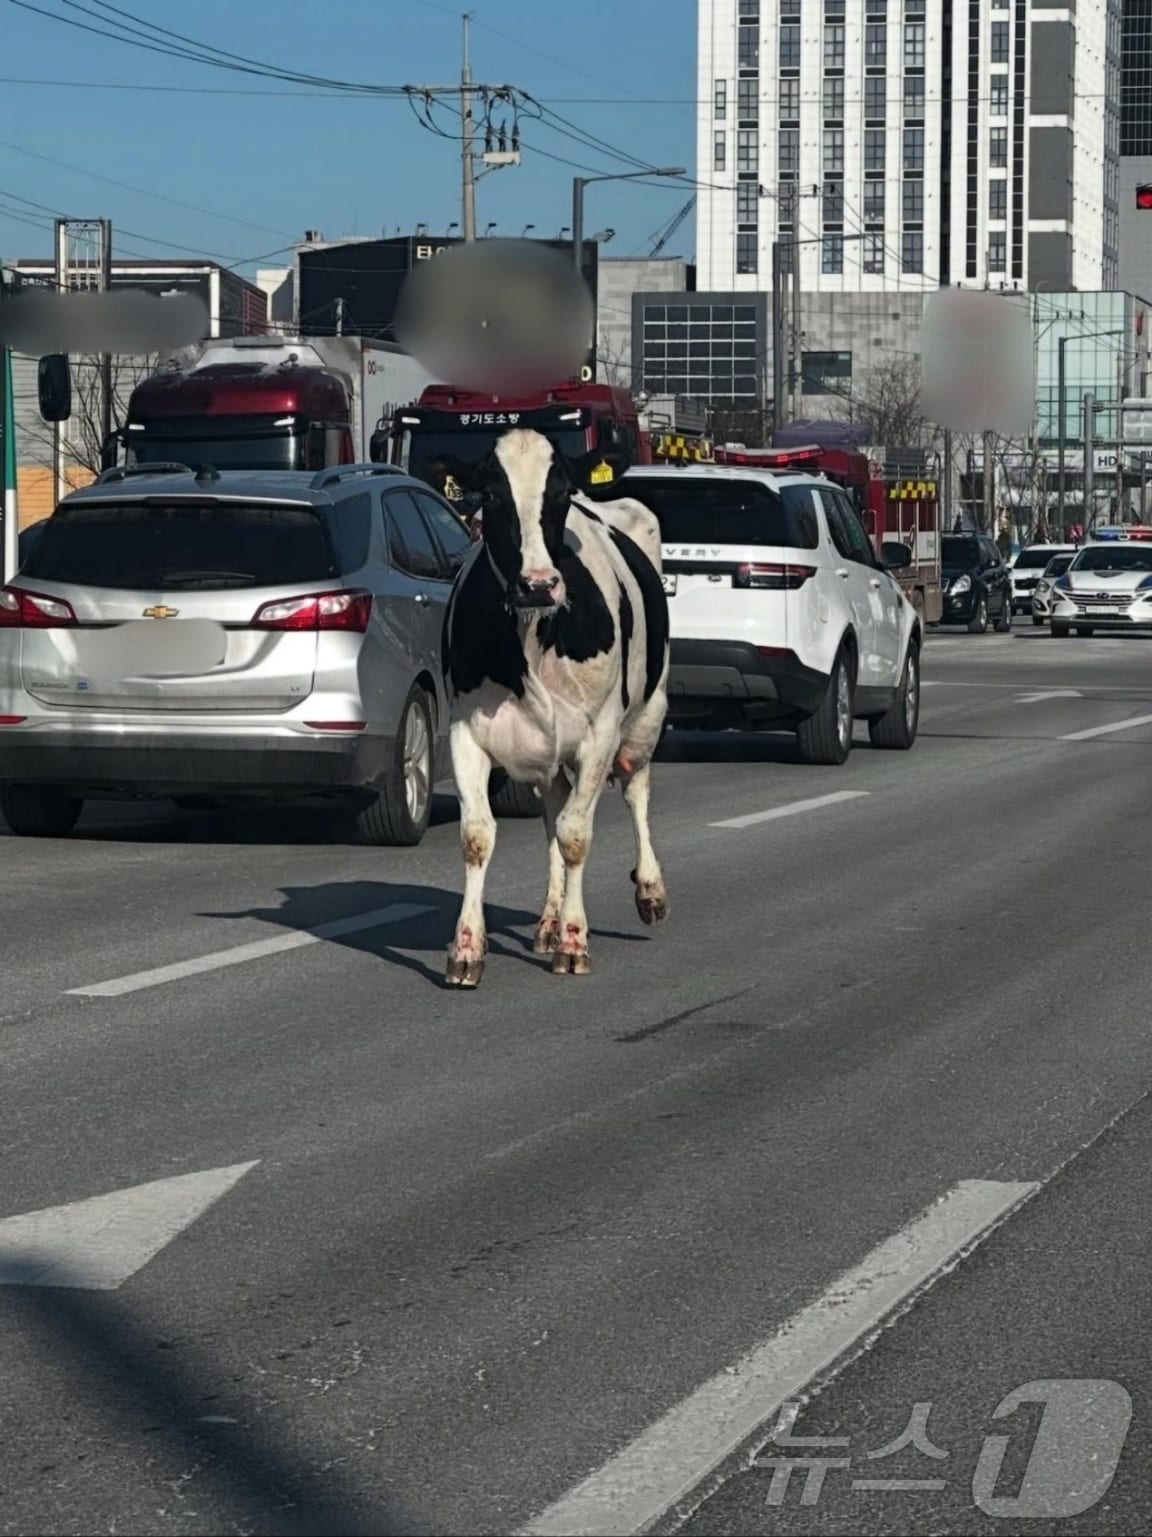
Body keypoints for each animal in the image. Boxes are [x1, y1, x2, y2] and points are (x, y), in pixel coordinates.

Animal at [436, 427, 672, 989]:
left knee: (636, 791)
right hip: (546, 750)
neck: (532, 636)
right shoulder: (465, 730)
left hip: (646, 718)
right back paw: (547, 918)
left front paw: (574, 940)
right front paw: (467, 948)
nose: (538, 583)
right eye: (490, 494)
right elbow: (478, 835)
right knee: (552, 807)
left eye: (560, 493)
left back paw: (649, 890)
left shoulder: (600, 735)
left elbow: (576, 836)